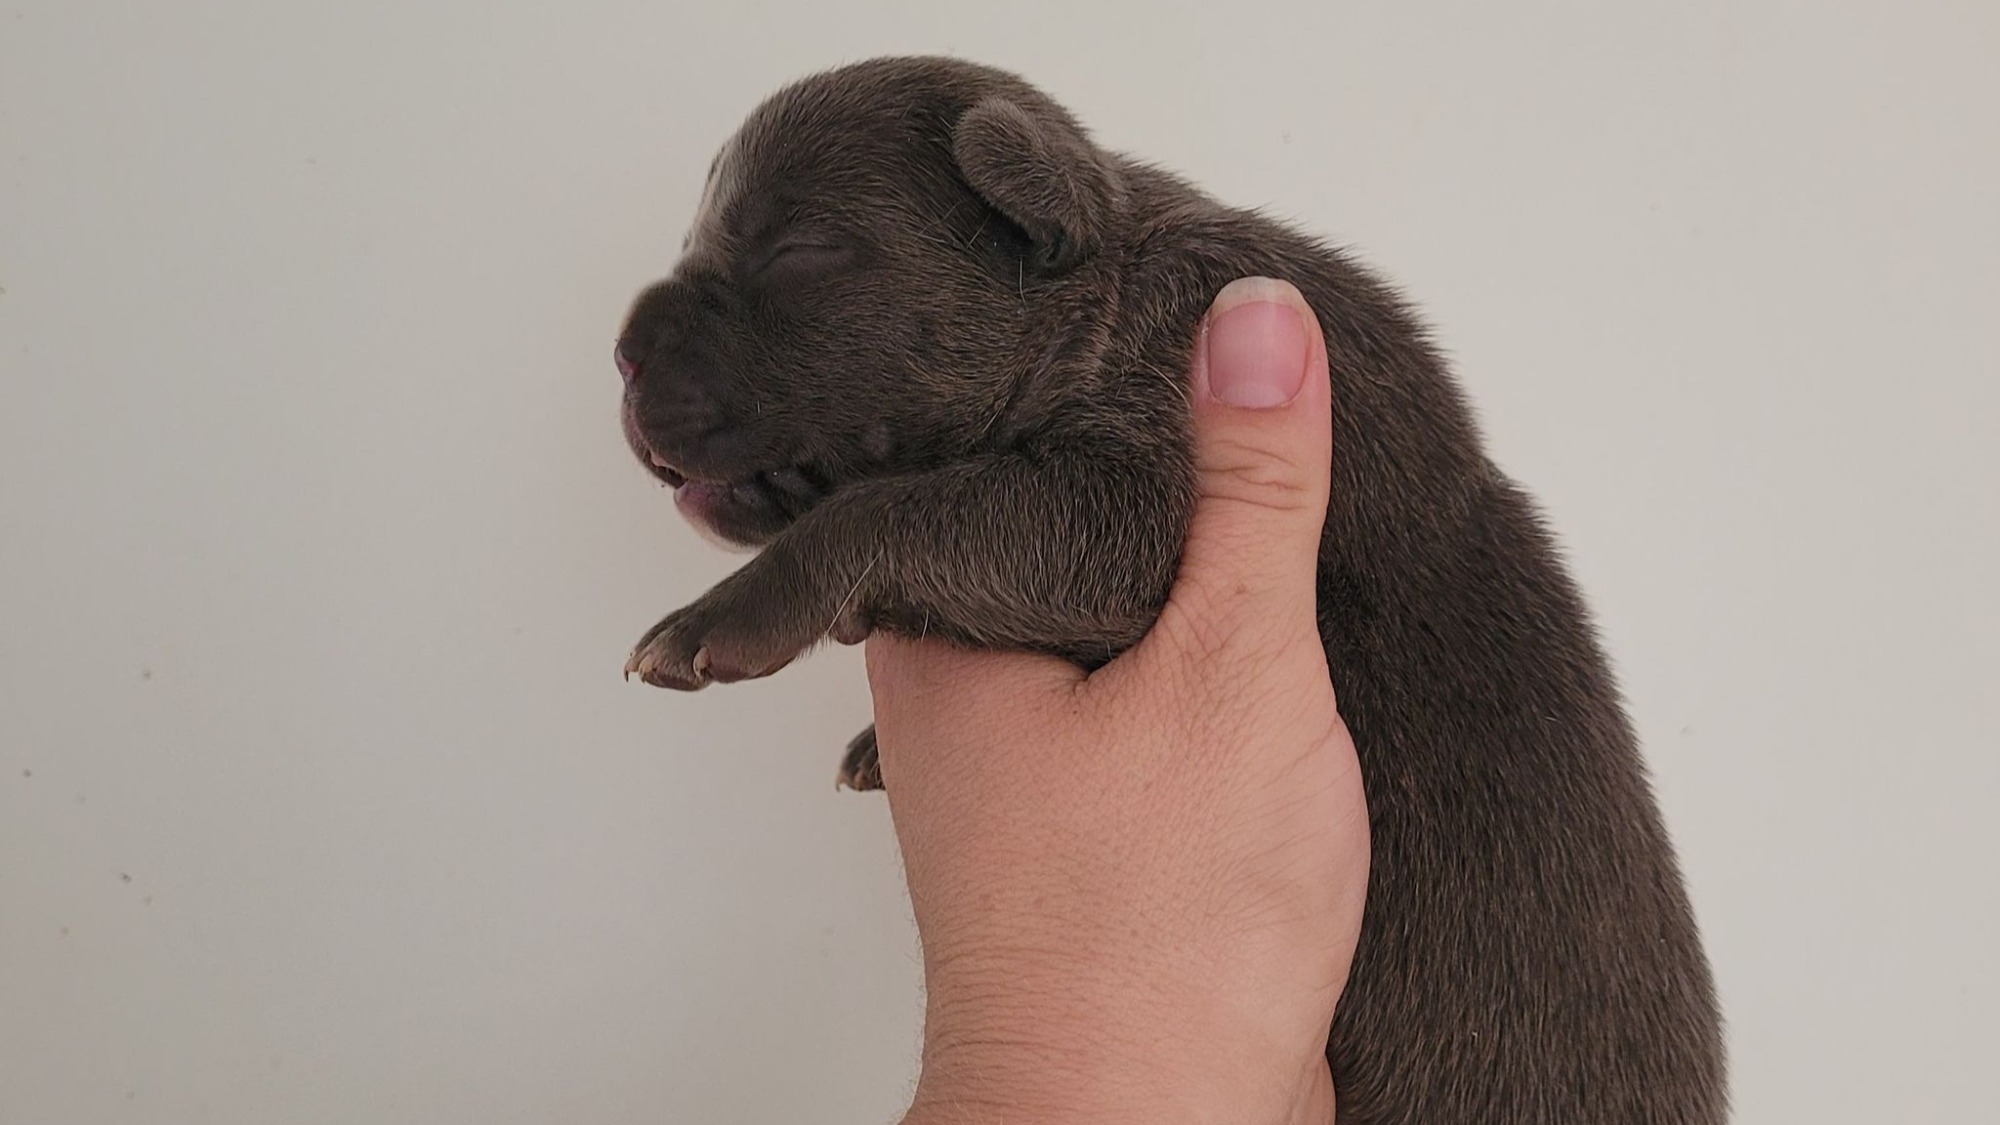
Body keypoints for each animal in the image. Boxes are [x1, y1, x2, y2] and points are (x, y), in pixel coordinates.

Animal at [608, 54, 1720, 1120]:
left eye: (800, 253)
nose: (620, 354)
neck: (1107, 294)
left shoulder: (1141, 501)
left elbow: (898, 508)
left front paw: (715, 620)